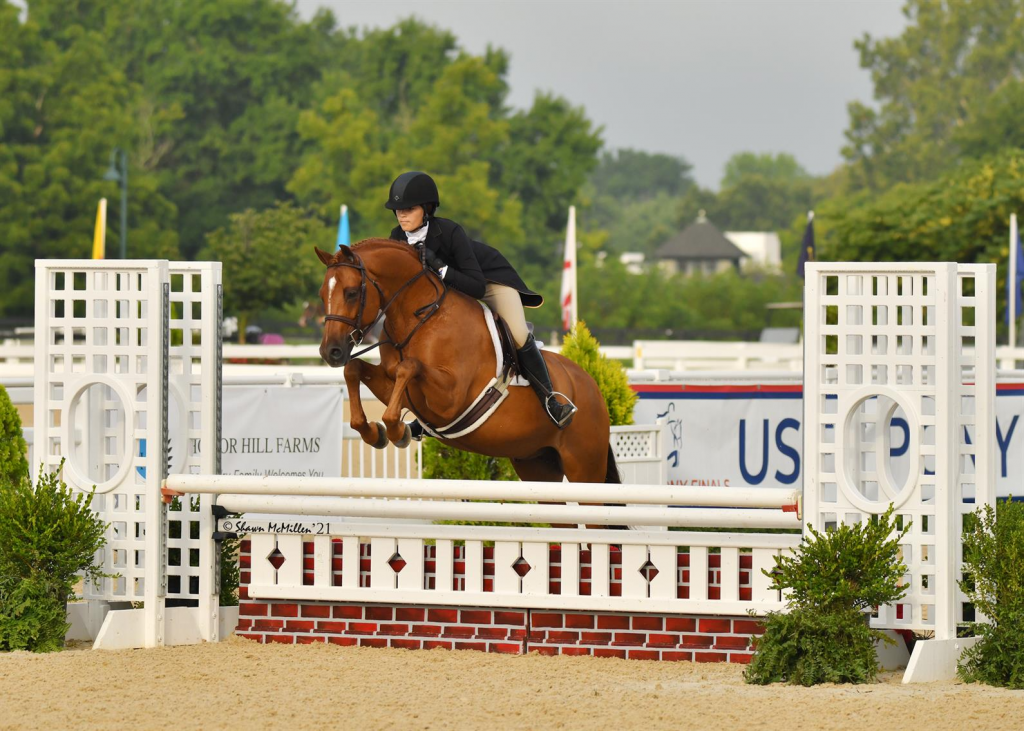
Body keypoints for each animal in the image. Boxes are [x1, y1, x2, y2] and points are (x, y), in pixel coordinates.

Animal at [315, 239, 621, 485]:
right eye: (321, 295)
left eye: (351, 292)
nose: (331, 352)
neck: (419, 318)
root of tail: (592, 385)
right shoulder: (397, 388)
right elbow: (356, 369)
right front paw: (374, 432)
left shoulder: (450, 400)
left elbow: (409, 367)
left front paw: (396, 430)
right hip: (537, 464)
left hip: (584, 467)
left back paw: (559, 408)